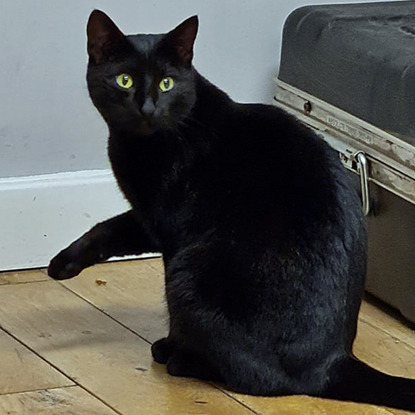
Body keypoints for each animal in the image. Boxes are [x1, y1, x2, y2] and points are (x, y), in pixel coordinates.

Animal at [49, 10, 415, 412]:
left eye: (166, 83)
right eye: (124, 80)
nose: (147, 108)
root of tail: (333, 364)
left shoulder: (167, 223)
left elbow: (119, 237)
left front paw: (170, 344)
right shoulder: (149, 217)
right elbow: (108, 228)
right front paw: (64, 264)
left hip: (189, 272)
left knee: (257, 380)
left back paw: (181, 360)